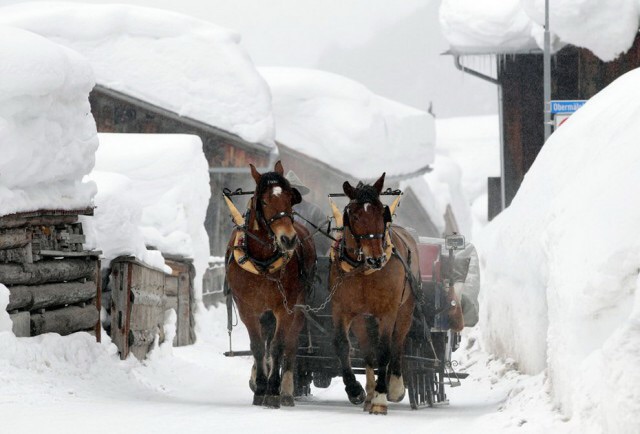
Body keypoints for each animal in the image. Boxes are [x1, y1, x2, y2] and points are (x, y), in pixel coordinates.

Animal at [224, 161, 316, 408]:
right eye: (264, 201)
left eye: (289, 198)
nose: (288, 239)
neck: (263, 262)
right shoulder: (248, 308)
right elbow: (257, 346)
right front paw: (260, 387)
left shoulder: (285, 307)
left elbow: (278, 346)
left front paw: (273, 389)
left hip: (298, 307)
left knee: (291, 344)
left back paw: (286, 390)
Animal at [330, 173, 420, 414]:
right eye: (354, 215)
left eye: (382, 212)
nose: (376, 258)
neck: (363, 271)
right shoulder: (342, 310)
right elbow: (343, 344)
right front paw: (355, 390)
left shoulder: (388, 312)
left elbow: (385, 350)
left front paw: (381, 397)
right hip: (363, 318)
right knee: (368, 351)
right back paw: (369, 394)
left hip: (405, 309)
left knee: (398, 342)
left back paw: (393, 387)